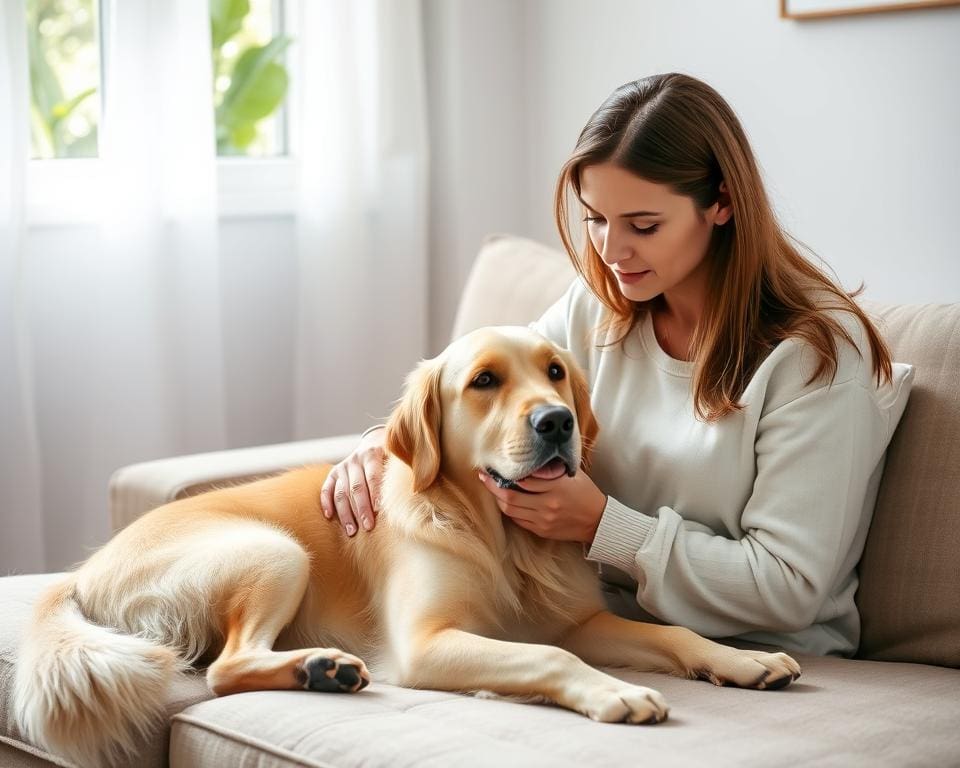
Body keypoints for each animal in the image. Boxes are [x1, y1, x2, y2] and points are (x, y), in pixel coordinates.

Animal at [13, 328, 804, 768]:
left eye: (555, 371)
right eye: (484, 381)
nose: (557, 422)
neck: (495, 536)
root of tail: (82, 572)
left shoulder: (577, 621)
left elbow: (669, 633)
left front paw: (743, 658)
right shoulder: (429, 643)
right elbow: (550, 659)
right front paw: (615, 692)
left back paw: (322, 670)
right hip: (275, 550)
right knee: (222, 670)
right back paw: (321, 667)